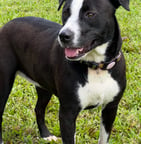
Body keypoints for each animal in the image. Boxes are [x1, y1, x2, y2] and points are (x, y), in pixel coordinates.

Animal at [0, 0, 129, 143]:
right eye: (66, 12)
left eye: (90, 14)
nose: (63, 36)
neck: (96, 67)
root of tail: (7, 24)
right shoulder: (68, 113)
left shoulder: (110, 108)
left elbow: (103, 138)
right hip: (4, 84)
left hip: (44, 85)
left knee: (39, 109)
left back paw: (46, 135)